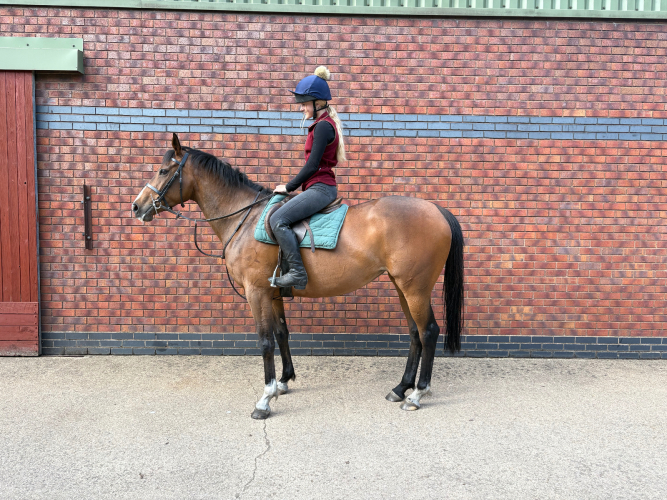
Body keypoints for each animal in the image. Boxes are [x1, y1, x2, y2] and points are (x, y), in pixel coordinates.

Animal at [132, 134, 464, 420]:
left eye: (163, 170)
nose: (137, 206)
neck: (245, 218)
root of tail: (436, 209)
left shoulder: (256, 292)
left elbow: (265, 340)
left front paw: (265, 399)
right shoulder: (272, 292)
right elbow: (282, 333)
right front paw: (283, 381)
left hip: (415, 288)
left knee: (428, 332)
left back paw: (417, 394)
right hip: (401, 286)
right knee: (414, 334)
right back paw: (400, 388)